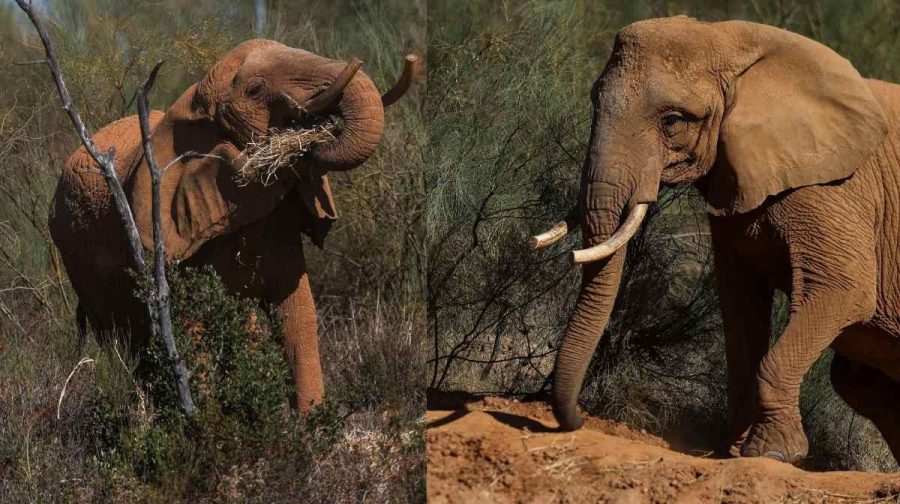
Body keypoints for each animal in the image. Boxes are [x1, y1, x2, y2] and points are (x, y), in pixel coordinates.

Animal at [49, 39, 416, 412]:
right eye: (255, 90)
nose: (321, 124)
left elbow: (296, 312)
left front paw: (308, 419)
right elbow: (190, 324)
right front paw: (207, 420)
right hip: (78, 260)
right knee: (123, 339)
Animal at [530, 16, 900, 464]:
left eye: (673, 121)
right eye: (593, 102)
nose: (578, 420)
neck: (731, 39)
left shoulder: (834, 188)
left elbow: (844, 290)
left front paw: (772, 454)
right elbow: (739, 306)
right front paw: (736, 449)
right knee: (861, 387)